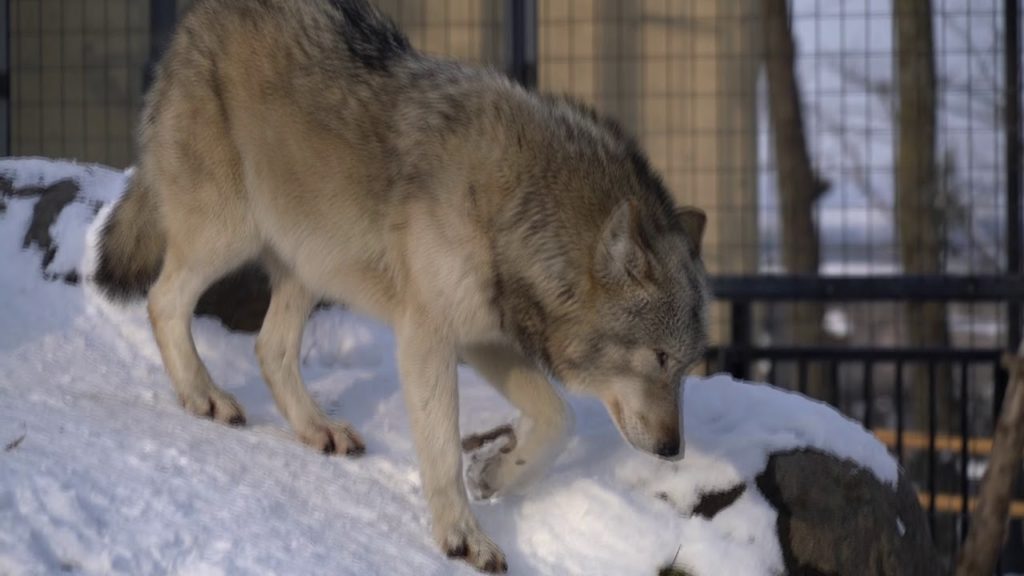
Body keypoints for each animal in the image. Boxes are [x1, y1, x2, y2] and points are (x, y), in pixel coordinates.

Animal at [93, 0, 709, 572]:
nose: (674, 450)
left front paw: (496, 473)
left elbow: (562, 418)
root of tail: (193, 22)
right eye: (659, 359)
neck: (515, 206)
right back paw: (204, 395)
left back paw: (317, 429)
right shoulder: (428, 336)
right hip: (229, 233)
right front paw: (463, 537)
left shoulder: (484, 337)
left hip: (310, 262)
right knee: (163, 300)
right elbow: (441, 453)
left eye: (684, 369)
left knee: (269, 348)